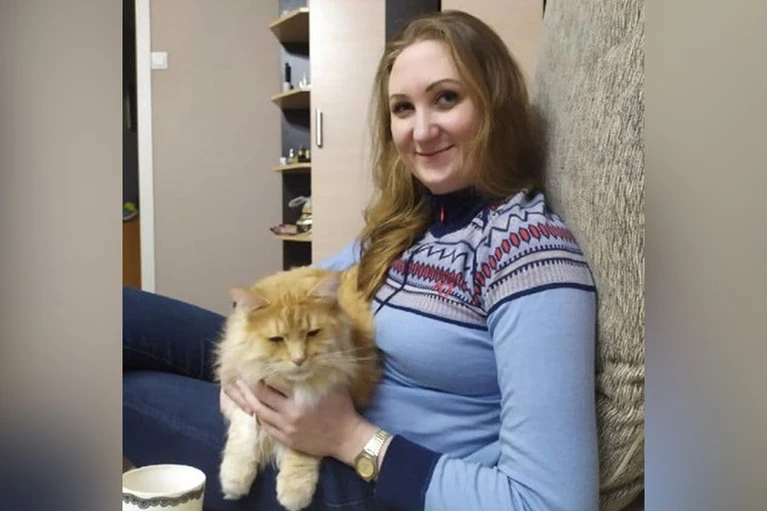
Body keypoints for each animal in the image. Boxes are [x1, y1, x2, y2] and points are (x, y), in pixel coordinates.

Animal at [214, 265, 379, 511]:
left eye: (312, 333)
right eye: (277, 339)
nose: (299, 359)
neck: (291, 385)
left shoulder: (311, 406)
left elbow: (301, 451)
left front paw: (294, 493)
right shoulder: (245, 388)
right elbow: (243, 435)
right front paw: (233, 480)